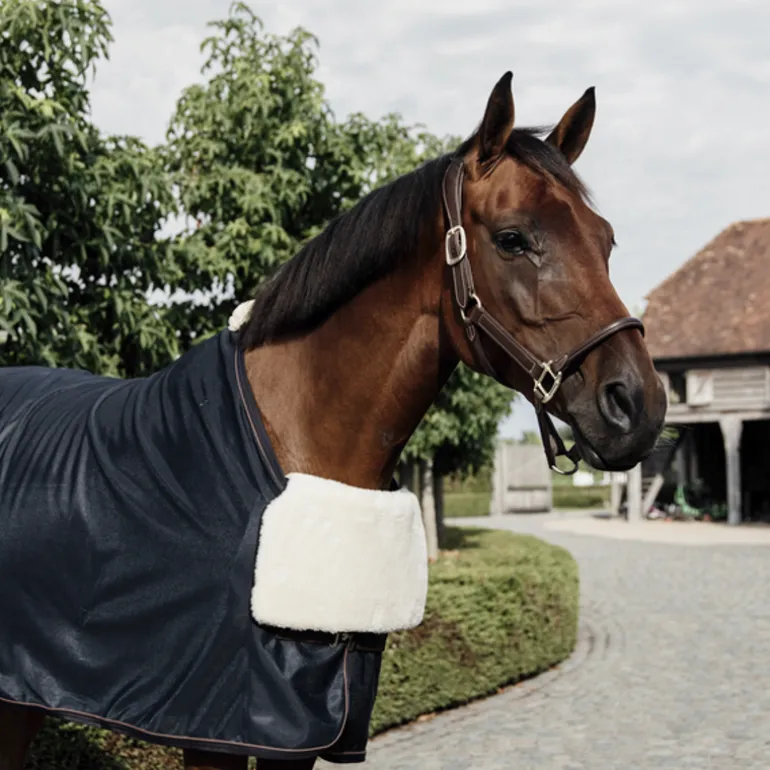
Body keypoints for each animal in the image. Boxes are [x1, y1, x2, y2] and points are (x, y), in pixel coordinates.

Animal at [0, 72, 666, 770]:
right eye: (513, 238)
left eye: (606, 241)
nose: (636, 403)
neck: (290, 444)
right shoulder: (215, 731)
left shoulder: (307, 725)